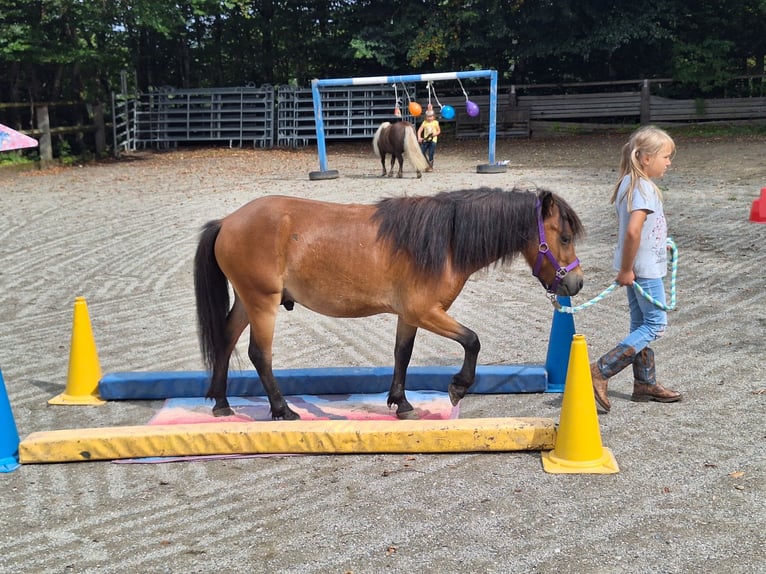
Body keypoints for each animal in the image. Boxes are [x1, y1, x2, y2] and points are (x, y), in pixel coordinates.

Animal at [194, 186, 585, 420]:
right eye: (564, 237)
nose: (576, 283)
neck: (444, 241)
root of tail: (226, 222)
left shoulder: (409, 316)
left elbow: (403, 354)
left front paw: (401, 402)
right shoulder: (425, 312)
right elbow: (472, 341)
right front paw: (458, 386)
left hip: (247, 301)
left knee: (225, 340)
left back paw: (222, 403)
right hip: (262, 303)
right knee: (260, 354)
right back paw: (282, 410)